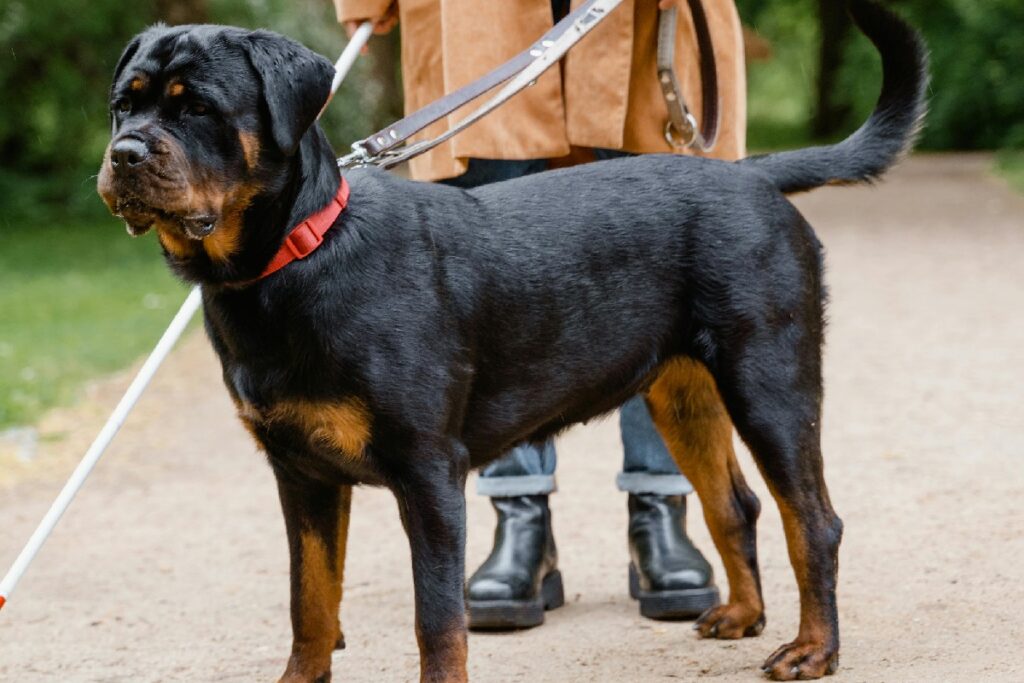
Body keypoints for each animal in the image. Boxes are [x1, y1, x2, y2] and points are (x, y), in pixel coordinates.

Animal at [99, 2, 933, 679]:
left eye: (198, 108)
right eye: (122, 106)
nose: (125, 154)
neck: (297, 258)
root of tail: (757, 176)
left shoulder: (428, 473)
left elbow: (437, 619)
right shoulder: (300, 472)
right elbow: (310, 602)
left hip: (771, 383)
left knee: (813, 521)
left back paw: (813, 649)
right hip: (683, 391)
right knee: (737, 503)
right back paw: (742, 614)